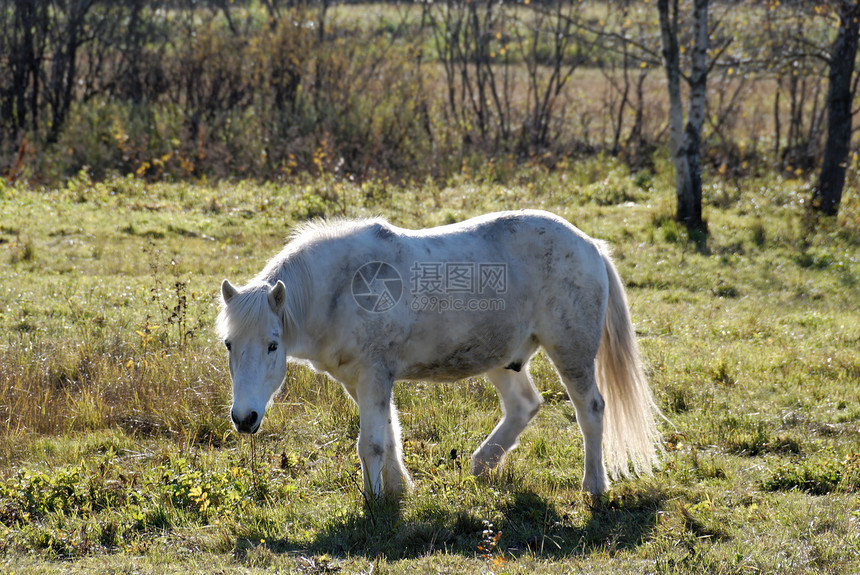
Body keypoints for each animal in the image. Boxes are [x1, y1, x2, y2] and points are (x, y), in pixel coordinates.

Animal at [218, 209, 660, 498]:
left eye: (273, 345)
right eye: (229, 345)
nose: (245, 418)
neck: (341, 288)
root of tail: (590, 245)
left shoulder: (374, 376)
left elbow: (371, 444)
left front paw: (373, 505)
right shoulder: (363, 381)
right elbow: (389, 435)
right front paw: (399, 490)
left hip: (571, 352)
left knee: (591, 410)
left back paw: (594, 486)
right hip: (503, 358)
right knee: (525, 406)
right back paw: (482, 465)